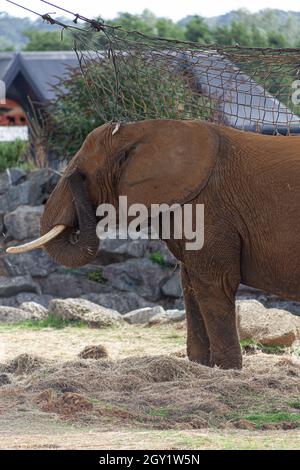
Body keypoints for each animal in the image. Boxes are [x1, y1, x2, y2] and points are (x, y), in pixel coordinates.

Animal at [7, 119, 300, 370]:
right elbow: (190, 283)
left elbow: (215, 282)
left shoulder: (210, 209)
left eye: (81, 176)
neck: (143, 129)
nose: (73, 179)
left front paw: (226, 371)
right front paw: (200, 367)